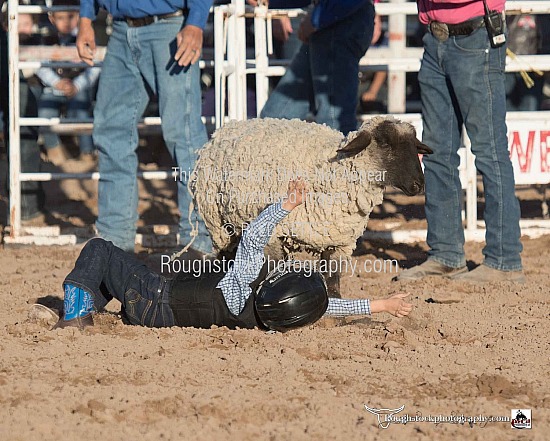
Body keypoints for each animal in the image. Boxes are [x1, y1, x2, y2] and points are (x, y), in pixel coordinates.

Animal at [192, 116, 434, 262]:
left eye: (414, 145)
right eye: (384, 142)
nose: (418, 184)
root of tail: (225, 128)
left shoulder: (339, 240)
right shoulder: (273, 233)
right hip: (219, 225)